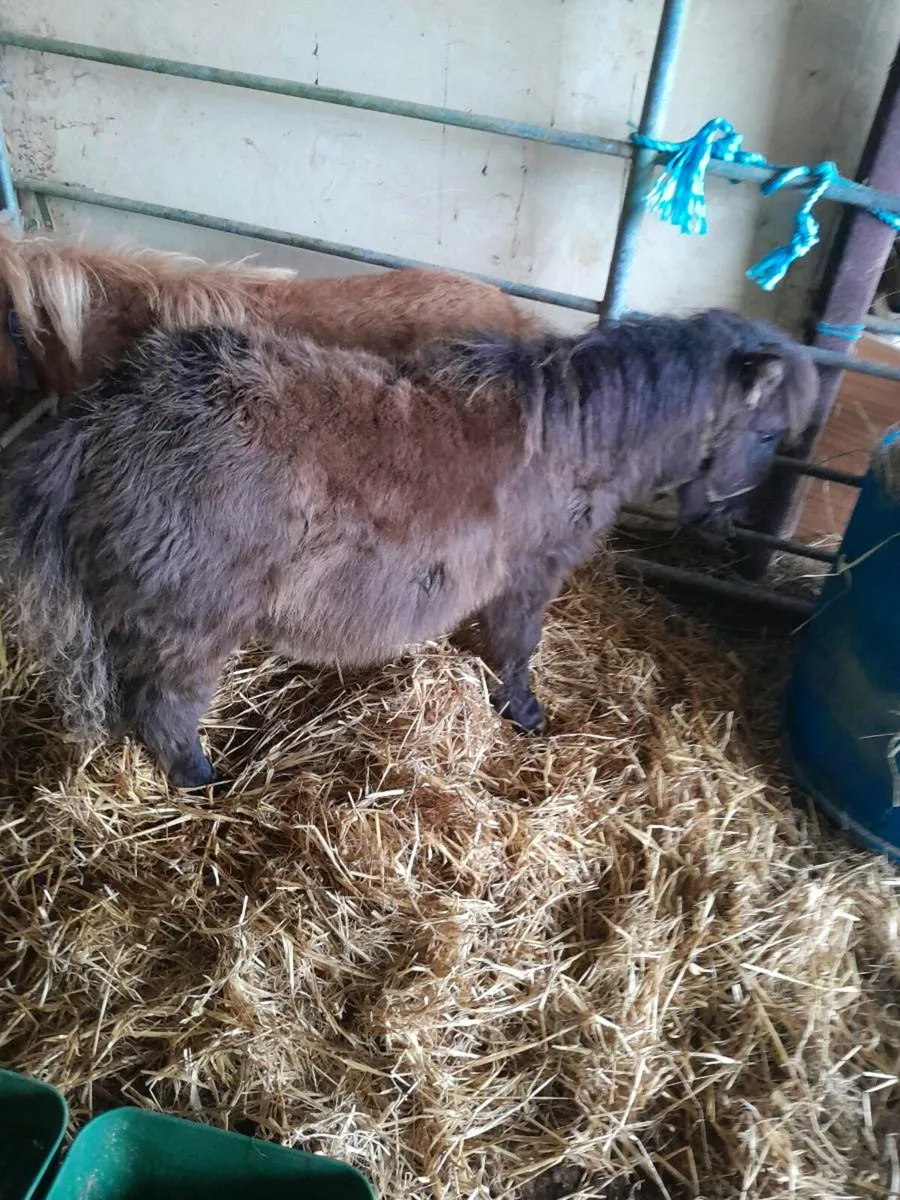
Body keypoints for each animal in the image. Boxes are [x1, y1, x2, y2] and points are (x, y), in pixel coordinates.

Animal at [0, 308, 820, 788]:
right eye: (769, 433)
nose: (724, 530)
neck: (574, 433)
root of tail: (103, 419)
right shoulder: (530, 575)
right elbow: (516, 647)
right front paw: (524, 713)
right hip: (188, 624)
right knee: (164, 708)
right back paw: (205, 781)